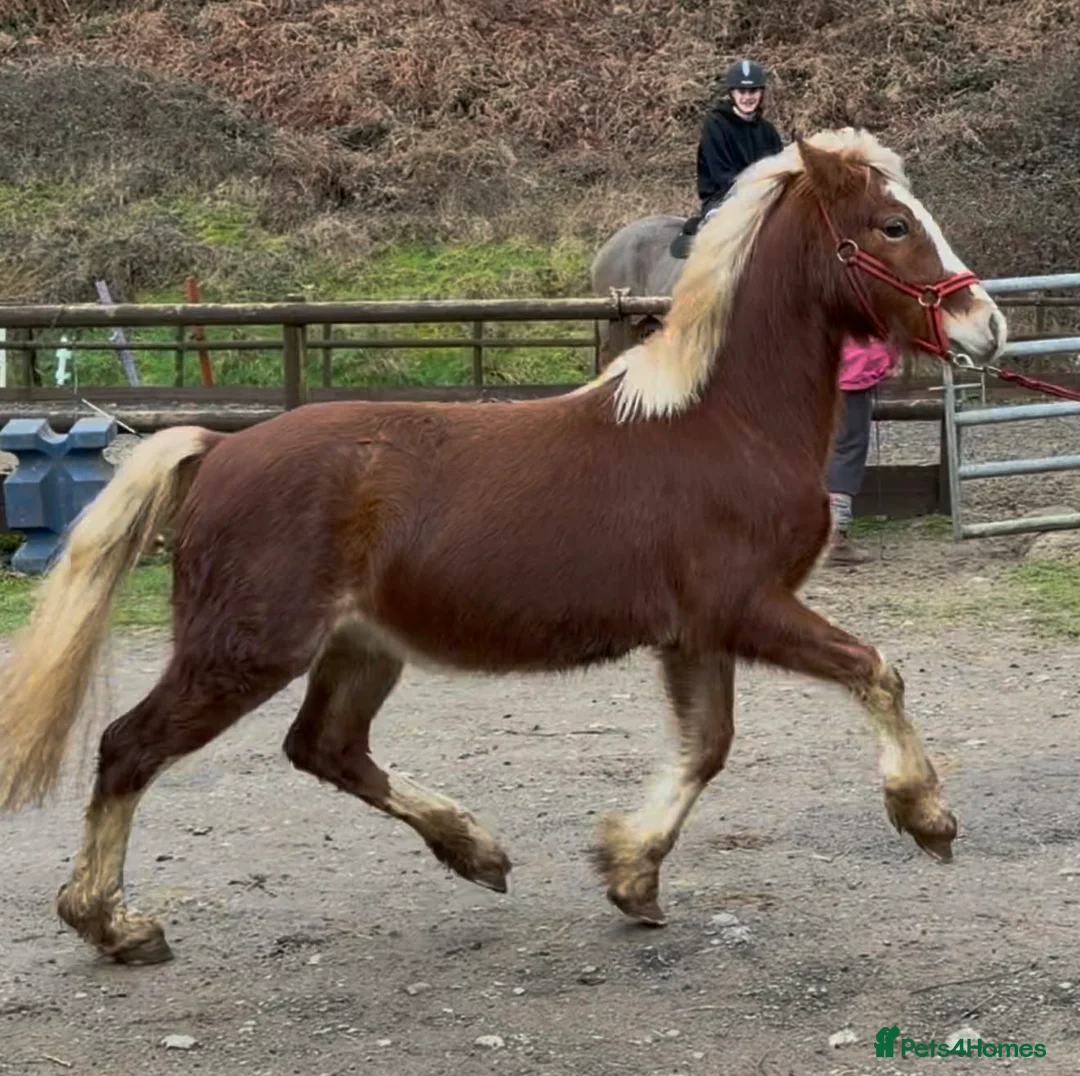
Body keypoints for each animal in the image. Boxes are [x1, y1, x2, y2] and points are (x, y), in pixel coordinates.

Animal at [0, 127, 1006, 966]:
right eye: (891, 226)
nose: (985, 327)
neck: (724, 424)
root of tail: (217, 447)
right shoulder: (747, 608)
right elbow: (874, 671)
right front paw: (928, 818)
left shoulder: (697, 634)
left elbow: (705, 747)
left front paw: (630, 874)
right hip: (244, 650)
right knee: (129, 747)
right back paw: (115, 925)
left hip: (360, 648)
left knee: (325, 748)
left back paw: (475, 850)